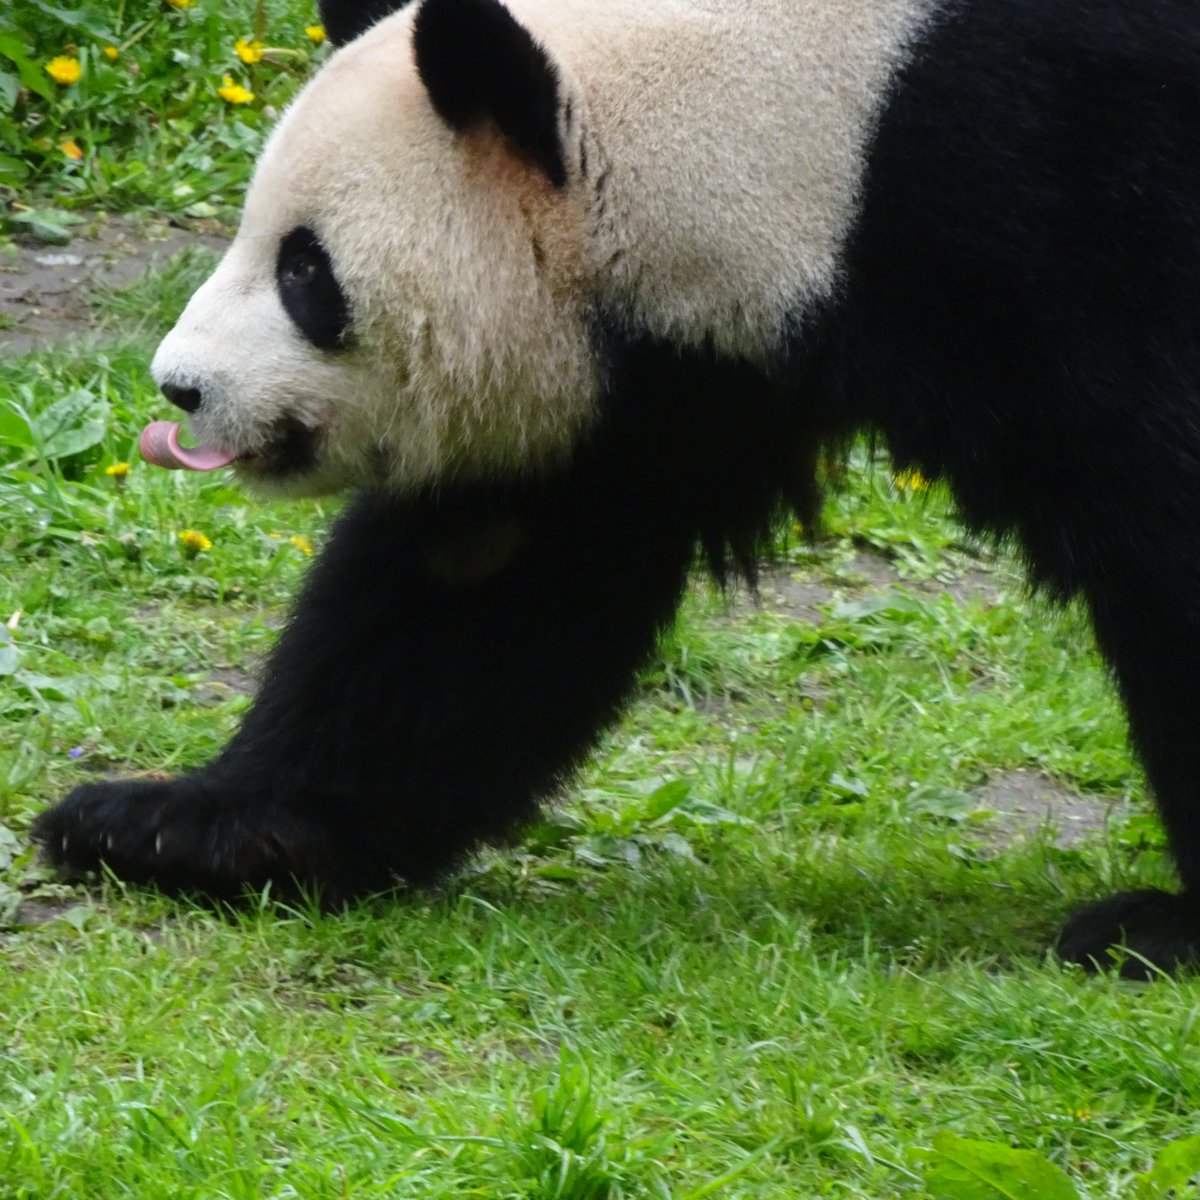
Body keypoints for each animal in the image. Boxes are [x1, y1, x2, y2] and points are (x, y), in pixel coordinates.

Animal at [32, 0, 1200, 977]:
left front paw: (1162, 926)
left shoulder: (1060, 190)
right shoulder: (669, 381)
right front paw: (188, 829)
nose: (181, 388)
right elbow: (484, 593)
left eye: (305, 270)